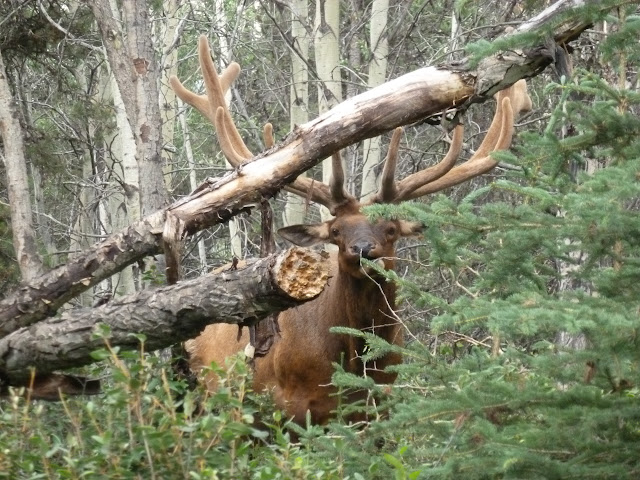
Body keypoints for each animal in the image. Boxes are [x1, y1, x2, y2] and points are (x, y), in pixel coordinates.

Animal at [169, 35, 528, 426]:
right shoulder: (289, 406)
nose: (363, 250)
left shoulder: (379, 404)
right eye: (337, 231)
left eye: (391, 228)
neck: (355, 363)